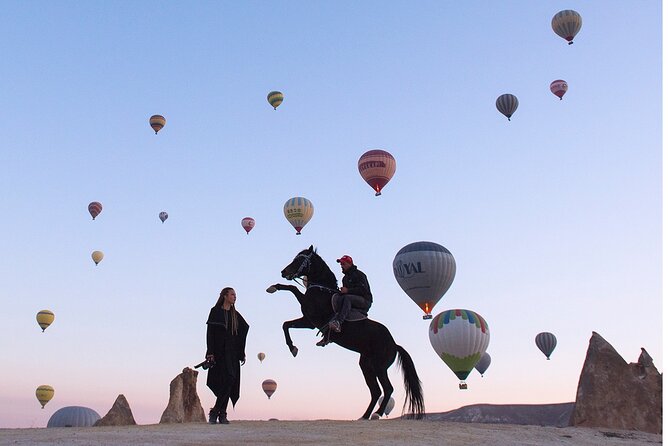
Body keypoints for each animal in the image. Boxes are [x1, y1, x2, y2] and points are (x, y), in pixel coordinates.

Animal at [266, 246, 422, 420]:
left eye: (300, 259)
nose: (284, 272)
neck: (322, 290)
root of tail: (394, 344)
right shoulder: (308, 321)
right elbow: (286, 323)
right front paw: (293, 348)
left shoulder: (311, 317)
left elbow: (293, 293)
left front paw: (293, 348)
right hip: (366, 365)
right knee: (375, 391)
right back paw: (364, 416)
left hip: (379, 366)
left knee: (387, 389)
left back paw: (376, 414)